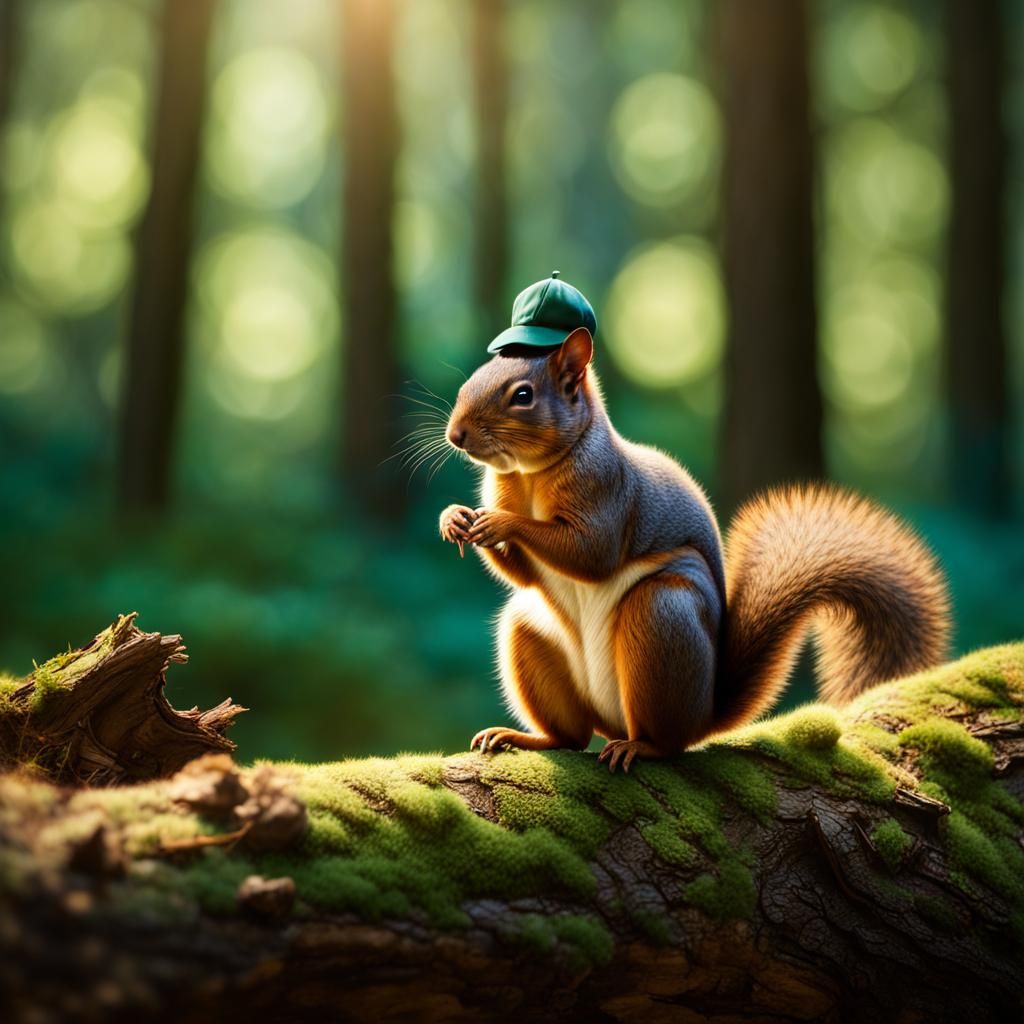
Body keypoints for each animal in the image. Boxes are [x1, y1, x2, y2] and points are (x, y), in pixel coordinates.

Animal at [439, 327, 951, 772]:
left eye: (523, 395)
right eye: (473, 378)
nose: (455, 434)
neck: (529, 474)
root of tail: (707, 711)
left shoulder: (608, 494)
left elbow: (589, 552)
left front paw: (500, 523)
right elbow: (524, 575)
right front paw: (454, 517)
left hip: (660, 617)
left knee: (667, 742)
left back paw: (640, 747)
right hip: (531, 632)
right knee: (572, 737)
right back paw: (522, 737)